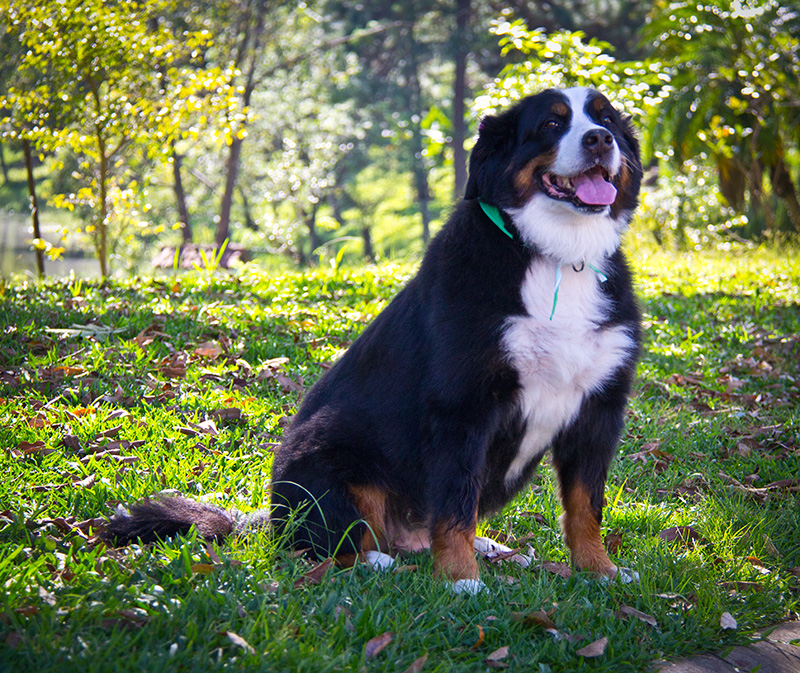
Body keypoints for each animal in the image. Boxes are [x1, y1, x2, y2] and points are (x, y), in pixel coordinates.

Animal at [106, 86, 644, 592]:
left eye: (606, 118)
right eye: (552, 123)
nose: (600, 140)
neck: (558, 258)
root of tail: (270, 516)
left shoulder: (598, 408)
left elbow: (585, 506)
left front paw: (599, 570)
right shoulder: (462, 407)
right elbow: (455, 506)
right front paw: (460, 580)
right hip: (328, 454)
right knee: (316, 546)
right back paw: (374, 560)